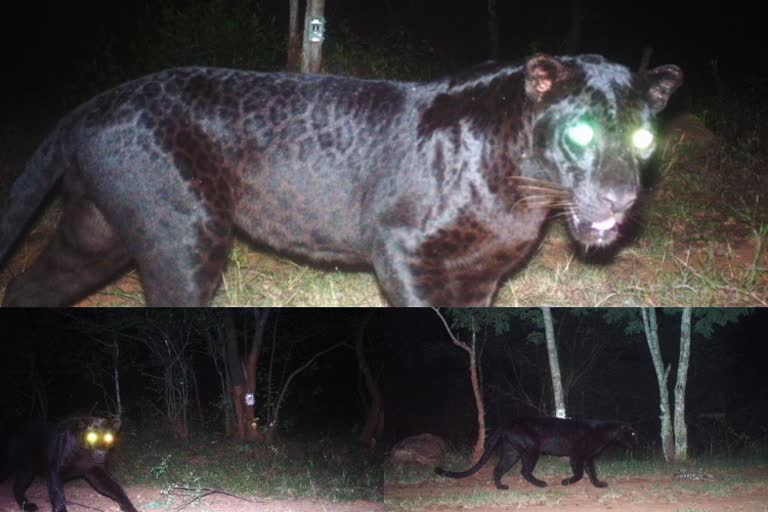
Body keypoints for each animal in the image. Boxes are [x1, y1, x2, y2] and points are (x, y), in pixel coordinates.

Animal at [0, 54, 684, 306]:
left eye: (644, 140)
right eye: (582, 134)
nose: (622, 196)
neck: (524, 189)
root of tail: (93, 103)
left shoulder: (481, 276)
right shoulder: (402, 252)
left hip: (94, 239)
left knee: (30, 287)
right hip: (183, 240)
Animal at [436, 418, 640, 490]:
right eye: (632, 434)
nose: (636, 443)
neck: (605, 433)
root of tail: (508, 423)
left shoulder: (587, 458)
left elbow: (591, 472)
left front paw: (598, 484)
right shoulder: (578, 456)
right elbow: (580, 473)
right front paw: (566, 482)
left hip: (511, 452)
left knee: (498, 469)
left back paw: (501, 487)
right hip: (531, 449)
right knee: (524, 471)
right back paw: (541, 484)